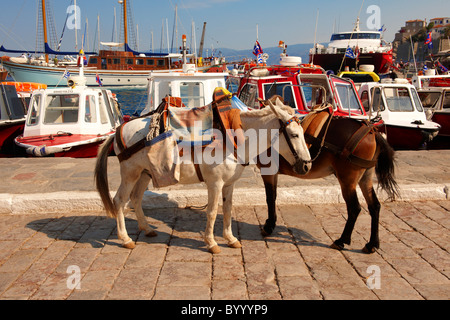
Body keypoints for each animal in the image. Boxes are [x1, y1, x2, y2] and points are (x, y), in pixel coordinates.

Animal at [94, 99, 312, 254]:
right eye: (294, 135)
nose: (307, 165)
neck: (234, 137)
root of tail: (119, 131)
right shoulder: (214, 183)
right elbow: (213, 212)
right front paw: (212, 243)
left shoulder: (229, 185)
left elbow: (227, 210)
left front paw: (230, 239)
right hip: (130, 173)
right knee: (119, 200)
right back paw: (125, 239)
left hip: (144, 174)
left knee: (136, 198)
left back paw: (147, 229)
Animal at [258, 105, 400, 255]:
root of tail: (372, 131)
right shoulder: (273, 172)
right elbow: (273, 196)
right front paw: (270, 223)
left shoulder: (267, 170)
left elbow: (270, 197)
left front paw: (268, 226)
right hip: (365, 177)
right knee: (375, 206)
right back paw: (372, 244)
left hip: (347, 180)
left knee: (354, 208)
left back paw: (341, 241)